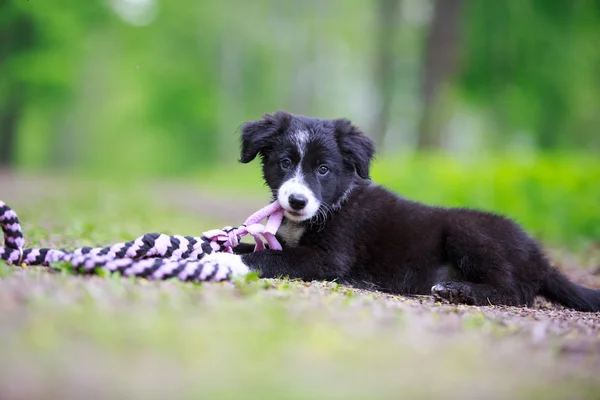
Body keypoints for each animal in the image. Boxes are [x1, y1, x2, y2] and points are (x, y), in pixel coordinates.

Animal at [200, 110, 600, 312]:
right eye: (285, 163)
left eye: (323, 170)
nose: (296, 201)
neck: (334, 203)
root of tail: (540, 258)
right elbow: (251, 246)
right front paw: (209, 246)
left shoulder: (328, 259)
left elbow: (267, 258)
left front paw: (223, 261)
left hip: (468, 230)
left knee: (514, 291)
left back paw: (456, 290)